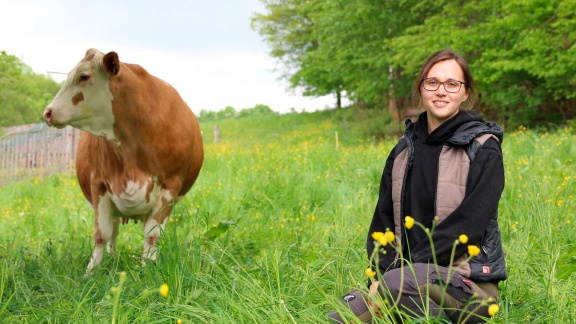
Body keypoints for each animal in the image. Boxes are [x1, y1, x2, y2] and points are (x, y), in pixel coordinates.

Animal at [41, 47, 202, 270]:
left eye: (84, 76)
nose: (48, 112)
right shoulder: (99, 184)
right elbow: (102, 234)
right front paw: (92, 270)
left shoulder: (171, 186)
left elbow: (152, 235)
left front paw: (147, 267)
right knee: (114, 232)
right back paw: (113, 257)